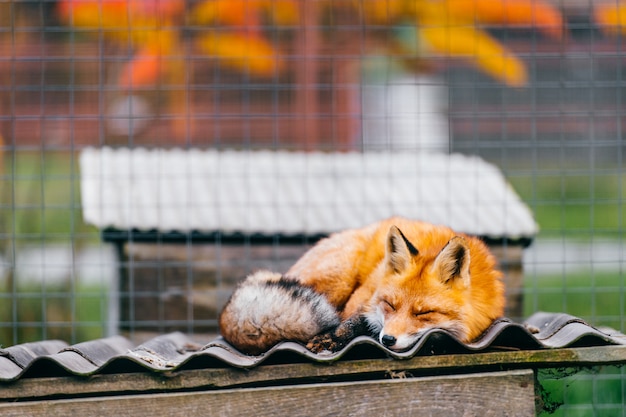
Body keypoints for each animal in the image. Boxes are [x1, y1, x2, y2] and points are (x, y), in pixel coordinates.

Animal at [218, 218, 502, 354]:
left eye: (423, 313)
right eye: (389, 305)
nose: (387, 340)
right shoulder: (363, 296)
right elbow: (352, 320)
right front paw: (334, 337)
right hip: (339, 279)